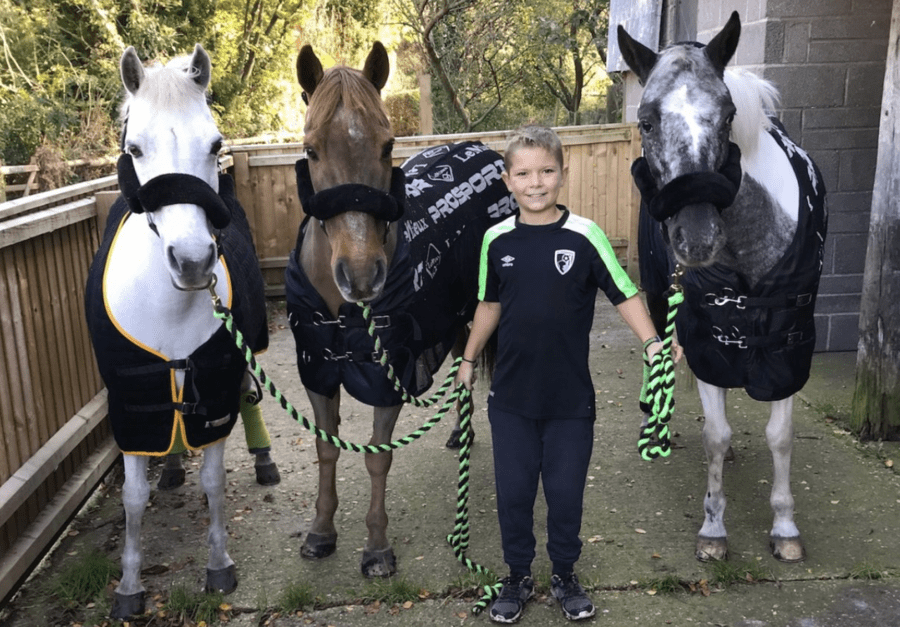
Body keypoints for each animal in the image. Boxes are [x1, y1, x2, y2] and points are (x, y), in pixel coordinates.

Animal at [85, 45, 268, 620]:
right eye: (135, 148)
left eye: (215, 144)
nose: (192, 262)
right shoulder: (131, 398)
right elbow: (132, 499)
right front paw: (128, 586)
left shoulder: (214, 379)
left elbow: (214, 480)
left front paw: (218, 564)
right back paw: (167, 468)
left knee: (248, 398)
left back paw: (264, 460)